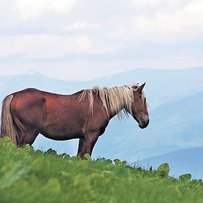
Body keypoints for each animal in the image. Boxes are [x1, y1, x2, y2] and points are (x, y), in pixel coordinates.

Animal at [0, 83, 149, 158]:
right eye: (143, 99)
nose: (145, 121)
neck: (100, 105)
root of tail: (14, 95)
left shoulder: (83, 138)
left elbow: (80, 157)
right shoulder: (91, 136)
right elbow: (87, 156)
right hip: (29, 134)